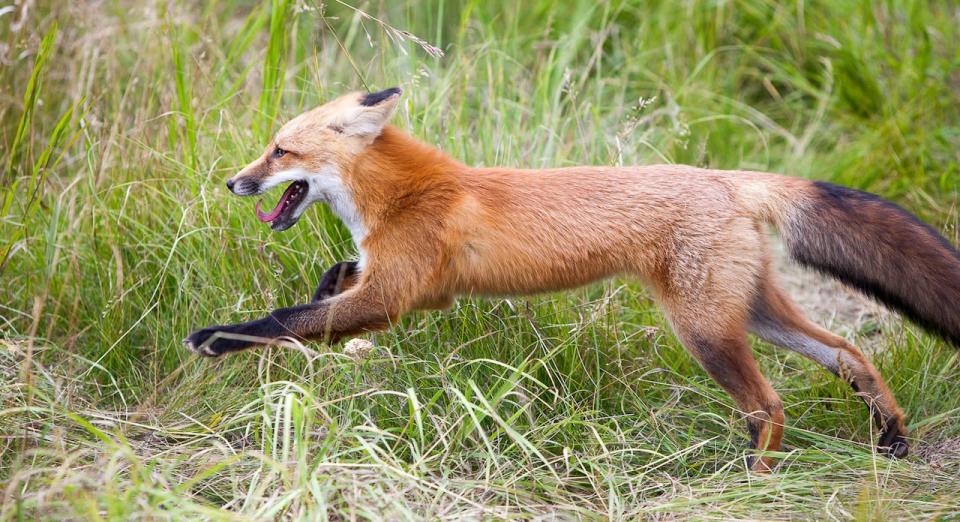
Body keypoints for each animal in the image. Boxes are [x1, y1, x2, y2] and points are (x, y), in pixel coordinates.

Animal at [186, 87, 960, 470]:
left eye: (279, 150)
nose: (231, 182)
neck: (403, 195)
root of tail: (725, 177)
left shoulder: (392, 297)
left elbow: (287, 320)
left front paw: (217, 338)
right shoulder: (413, 285)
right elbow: (330, 283)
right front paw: (320, 287)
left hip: (704, 329)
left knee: (769, 405)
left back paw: (752, 480)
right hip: (751, 311)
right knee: (849, 352)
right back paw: (892, 439)